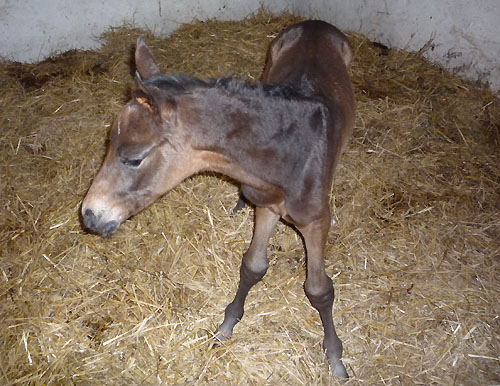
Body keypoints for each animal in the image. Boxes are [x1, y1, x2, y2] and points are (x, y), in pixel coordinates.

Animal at [82, 20, 354, 376]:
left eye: (134, 158)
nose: (89, 214)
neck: (286, 153)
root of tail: (315, 23)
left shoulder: (317, 222)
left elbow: (319, 290)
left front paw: (335, 357)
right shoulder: (267, 206)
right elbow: (253, 266)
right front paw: (226, 327)